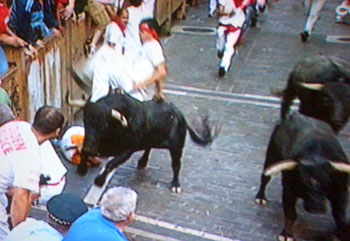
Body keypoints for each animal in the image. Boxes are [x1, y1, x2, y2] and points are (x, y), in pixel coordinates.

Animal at [68, 91, 219, 193]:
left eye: (104, 125)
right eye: (86, 121)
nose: (90, 148)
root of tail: (179, 113)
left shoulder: (127, 151)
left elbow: (111, 164)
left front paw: (99, 181)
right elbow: (84, 153)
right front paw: (82, 169)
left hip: (177, 147)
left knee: (176, 165)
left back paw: (175, 185)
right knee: (149, 147)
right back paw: (142, 162)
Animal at [256, 112, 350, 240]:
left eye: (327, 181)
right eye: (303, 180)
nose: (316, 208)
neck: (316, 155)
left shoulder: (341, 191)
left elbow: (340, 215)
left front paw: (340, 233)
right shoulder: (289, 190)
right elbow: (291, 213)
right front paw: (286, 234)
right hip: (272, 155)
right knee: (265, 177)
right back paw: (261, 197)